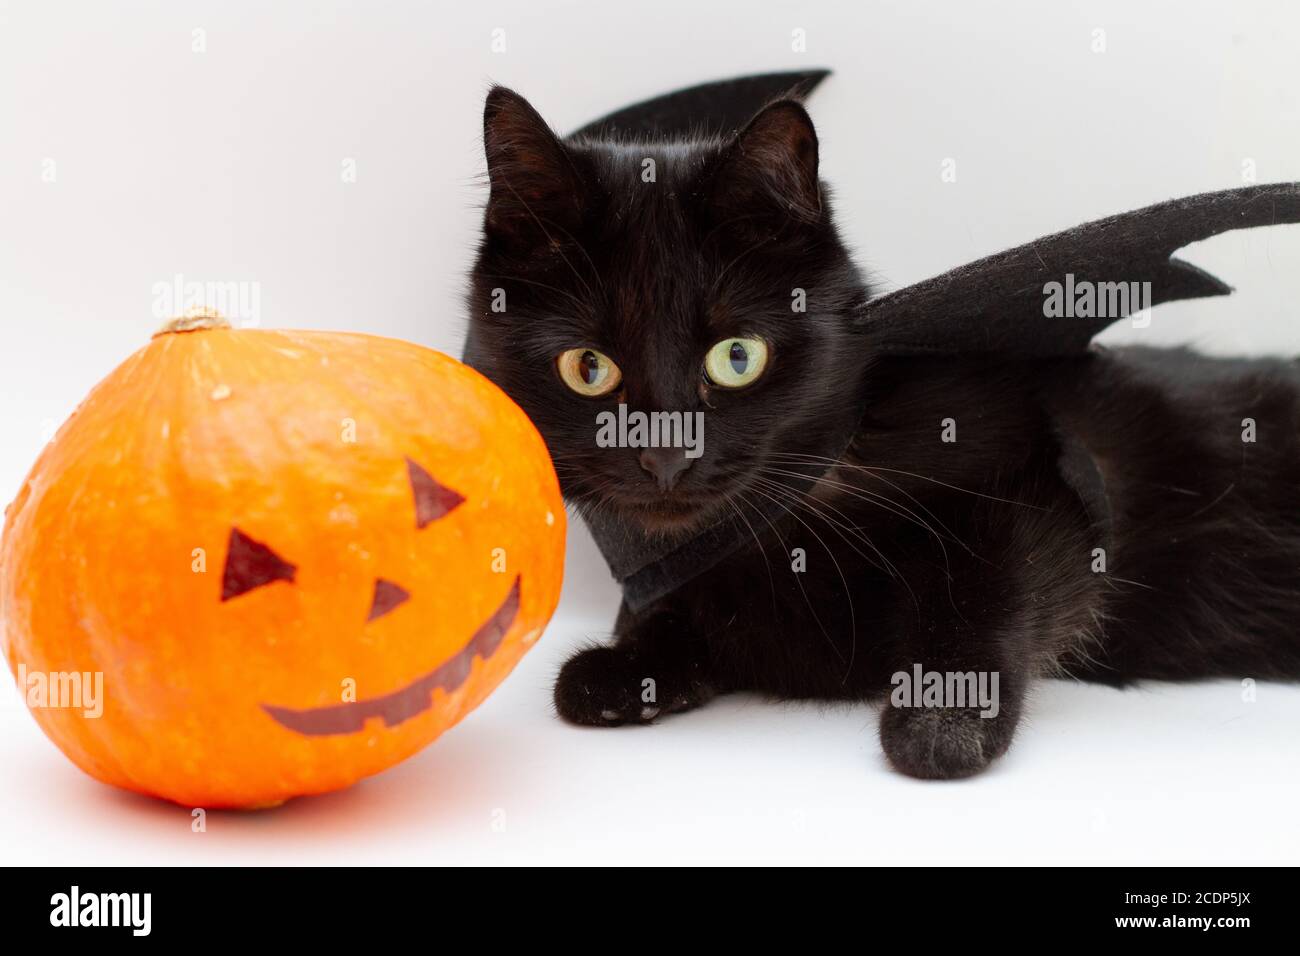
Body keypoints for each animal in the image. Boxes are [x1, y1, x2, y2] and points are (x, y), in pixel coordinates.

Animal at [465, 85, 1300, 780]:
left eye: (737, 357)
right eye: (588, 367)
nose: (665, 458)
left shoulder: (1044, 477)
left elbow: (988, 586)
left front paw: (941, 723)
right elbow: (686, 615)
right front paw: (623, 668)